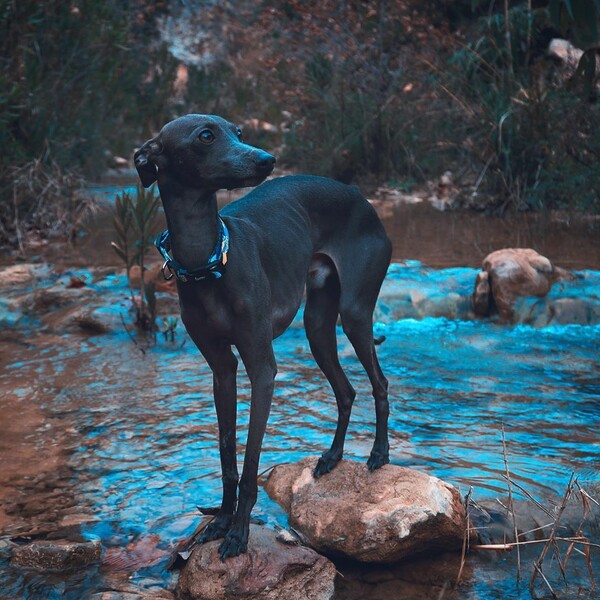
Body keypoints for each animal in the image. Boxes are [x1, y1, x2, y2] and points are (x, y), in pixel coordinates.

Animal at [134, 116, 392, 556]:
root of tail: (362, 199)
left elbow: (251, 460)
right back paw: (332, 457)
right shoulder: (222, 370)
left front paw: (238, 532)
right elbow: (227, 455)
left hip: (355, 314)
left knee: (379, 382)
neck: (208, 262)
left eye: (237, 131)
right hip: (317, 327)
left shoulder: (261, 369)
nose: (267, 159)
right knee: (345, 390)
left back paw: (378, 453)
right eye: (206, 135)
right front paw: (220, 521)